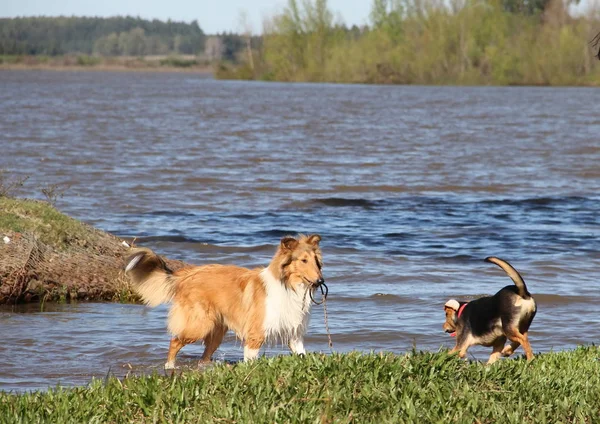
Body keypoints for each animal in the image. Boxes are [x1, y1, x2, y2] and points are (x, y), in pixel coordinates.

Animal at [124, 234, 326, 370]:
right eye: (303, 260)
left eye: (316, 261)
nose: (320, 281)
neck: (288, 287)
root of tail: (186, 274)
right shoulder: (255, 335)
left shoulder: (294, 334)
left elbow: (301, 354)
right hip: (198, 325)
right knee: (174, 341)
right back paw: (169, 367)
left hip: (216, 332)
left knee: (204, 356)